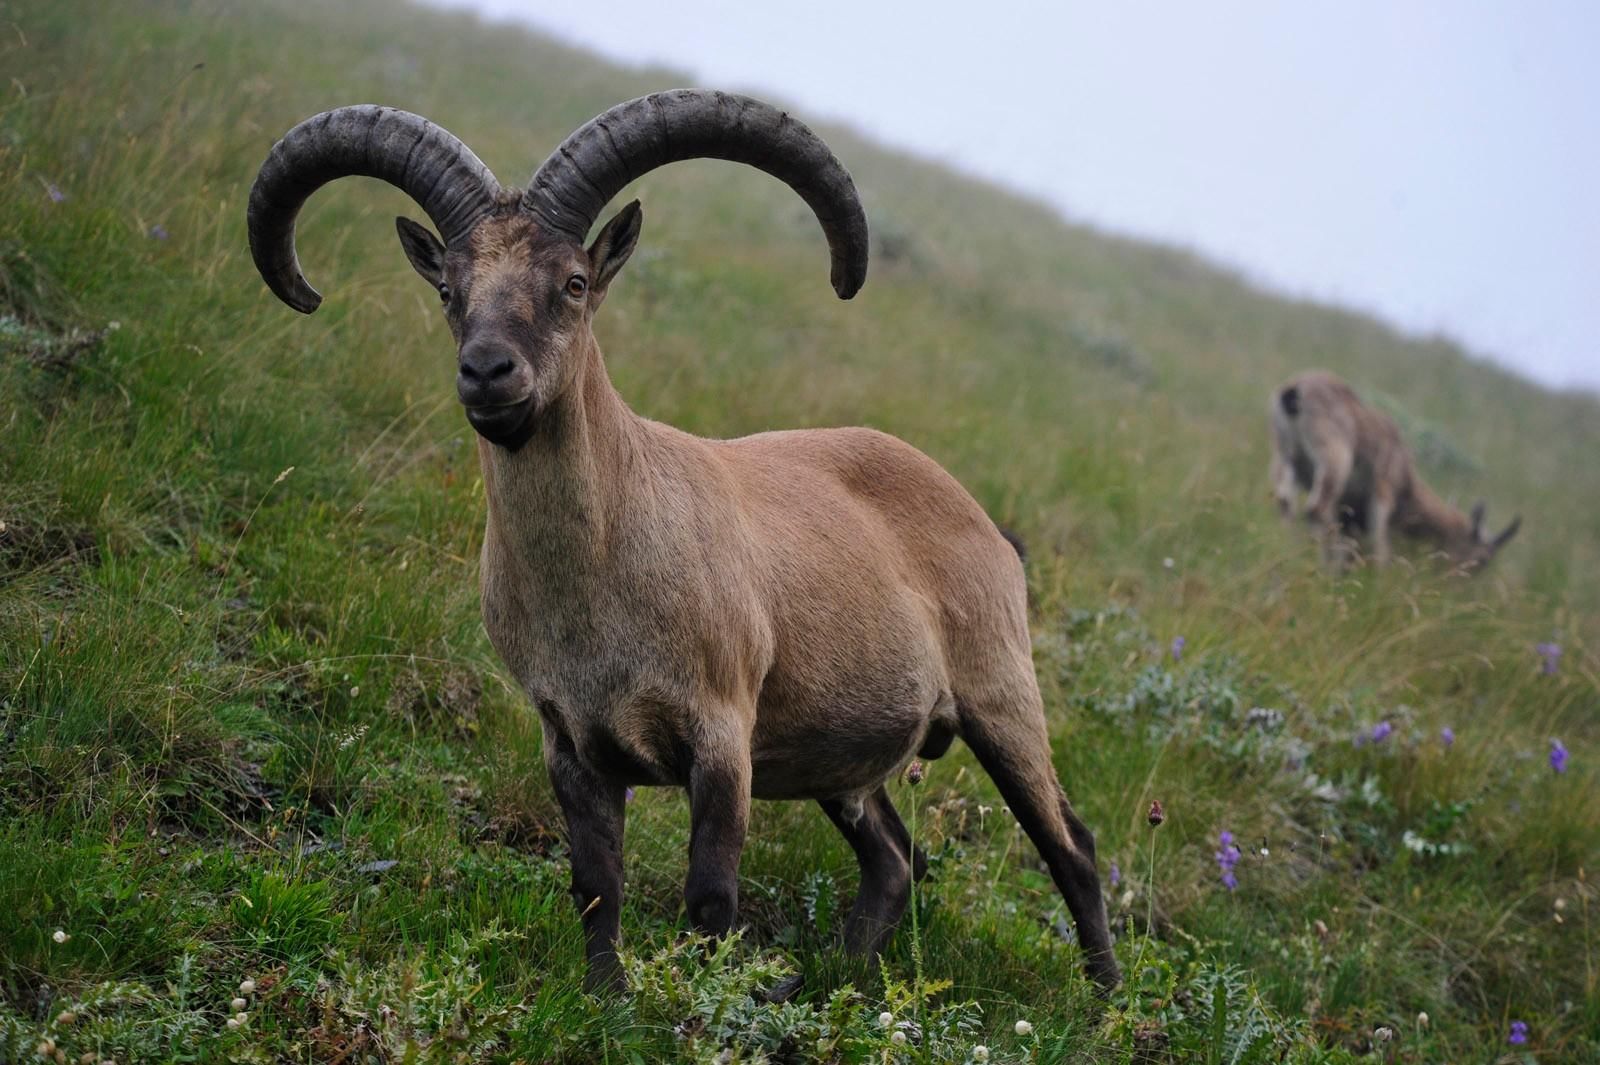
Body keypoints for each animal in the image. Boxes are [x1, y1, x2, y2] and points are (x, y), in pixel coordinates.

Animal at [249, 89, 1120, 985]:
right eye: (451, 289)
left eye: (573, 282)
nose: (489, 373)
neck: (603, 575)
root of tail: (985, 523)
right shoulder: (572, 741)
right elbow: (596, 883)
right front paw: (607, 998)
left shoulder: (721, 734)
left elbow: (710, 895)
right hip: (844, 764)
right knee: (893, 856)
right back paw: (839, 978)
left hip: (1001, 697)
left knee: (1072, 847)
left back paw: (1104, 997)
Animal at [1267, 372, 1516, 572]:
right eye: (1482, 558)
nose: (1458, 583)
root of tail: (1294, 391)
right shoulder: (1382, 496)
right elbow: (1381, 545)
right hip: (1333, 463)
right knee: (1315, 509)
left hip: (1286, 458)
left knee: (1286, 503)